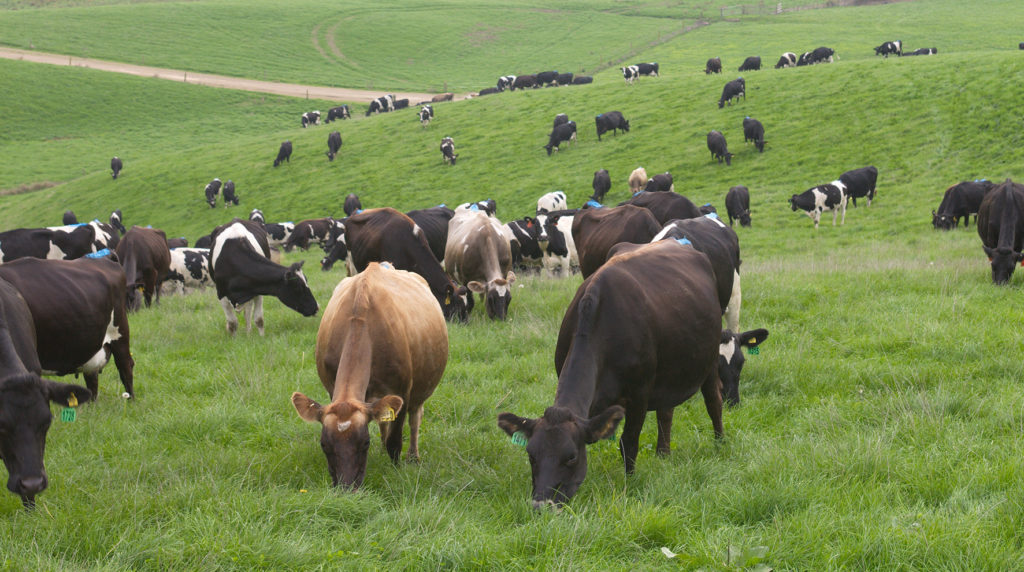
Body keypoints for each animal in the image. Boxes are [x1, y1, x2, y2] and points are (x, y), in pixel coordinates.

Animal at [290, 261, 446, 491]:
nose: (346, 487)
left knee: (415, 419)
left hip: (420, 390)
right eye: (324, 444)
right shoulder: (332, 390)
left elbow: (394, 441)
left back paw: (413, 456)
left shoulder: (402, 391)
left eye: (365, 443)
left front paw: (396, 468)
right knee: (383, 423)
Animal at [497, 239, 724, 507]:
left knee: (714, 402)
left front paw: (629, 483)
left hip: (710, 360)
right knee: (665, 412)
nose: (541, 504)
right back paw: (663, 454)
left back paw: (720, 445)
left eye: (571, 457)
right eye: (531, 455)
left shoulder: (639, 393)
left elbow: (629, 442)